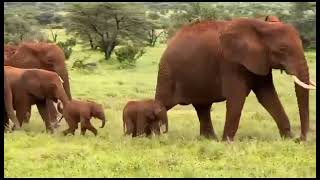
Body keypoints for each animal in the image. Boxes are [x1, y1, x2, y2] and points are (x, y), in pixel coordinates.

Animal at [154, 18, 316, 142]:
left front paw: (288, 138)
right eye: (282, 49)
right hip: (167, 72)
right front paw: (227, 142)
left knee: (203, 107)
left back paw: (209, 139)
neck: (261, 26)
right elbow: (237, 97)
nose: (300, 139)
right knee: (163, 103)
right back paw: (153, 137)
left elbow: (268, 96)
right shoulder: (230, 63)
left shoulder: (260, 61)